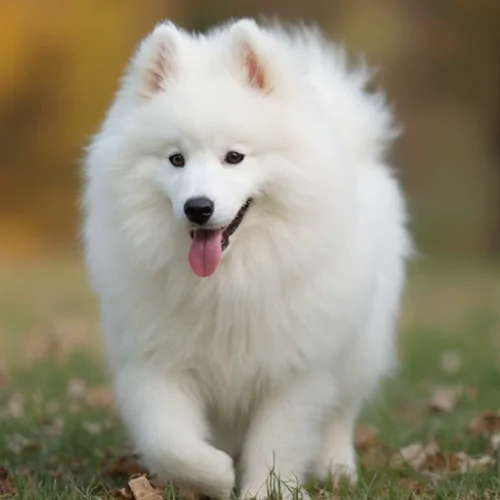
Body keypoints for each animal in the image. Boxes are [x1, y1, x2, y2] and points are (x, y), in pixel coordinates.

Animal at [81, 17, 410, 498]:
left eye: (234, 156)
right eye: (176, 159)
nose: (198, 207)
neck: (228, 282)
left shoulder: (294, 370)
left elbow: (276, 444)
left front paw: (262, 490)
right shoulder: (157, 362)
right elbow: (169, 441)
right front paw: (214, 474)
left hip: (358, 346)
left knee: (340, 413)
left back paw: (337, 467)